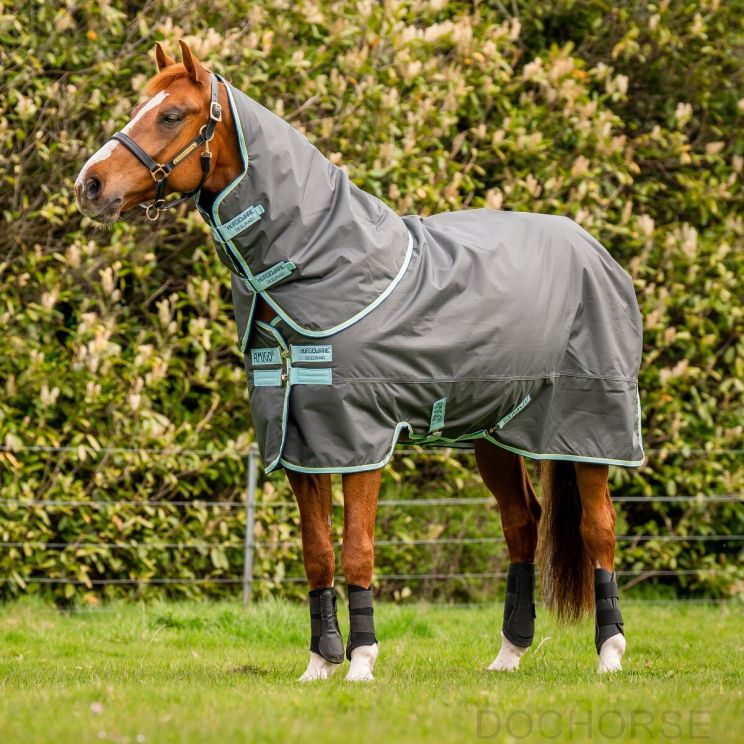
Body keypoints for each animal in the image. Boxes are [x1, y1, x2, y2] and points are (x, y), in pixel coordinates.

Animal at [75, 41, 642, 682]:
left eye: (171, 115)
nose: (90, 184)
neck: (323, 266)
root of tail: (595, 250)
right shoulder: (302, 442)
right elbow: (318, 553)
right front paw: (320, 663)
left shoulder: (360, 439)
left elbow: (357, 550)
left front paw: (362, 662)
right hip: (496, 435)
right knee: (523, 525)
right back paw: (507, 655)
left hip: (589, 427)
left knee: (599, 529)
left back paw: (610, 655)